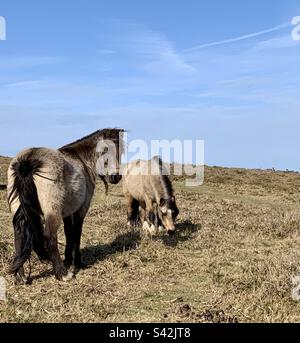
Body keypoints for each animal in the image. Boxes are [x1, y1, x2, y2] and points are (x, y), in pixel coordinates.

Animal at [7, 129, 124, 284]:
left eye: (121, 150)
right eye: (105, 149)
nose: (116, 177)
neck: (82, 160)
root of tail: (27, 160)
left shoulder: (68, 212)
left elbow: (69, 233)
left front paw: (68, 259)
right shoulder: (81, 210)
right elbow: (77, 233)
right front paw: (78, 262)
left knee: (19, 237)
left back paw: (21, 276)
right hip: (52, 212)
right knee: (49, 237)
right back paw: (62, 274)